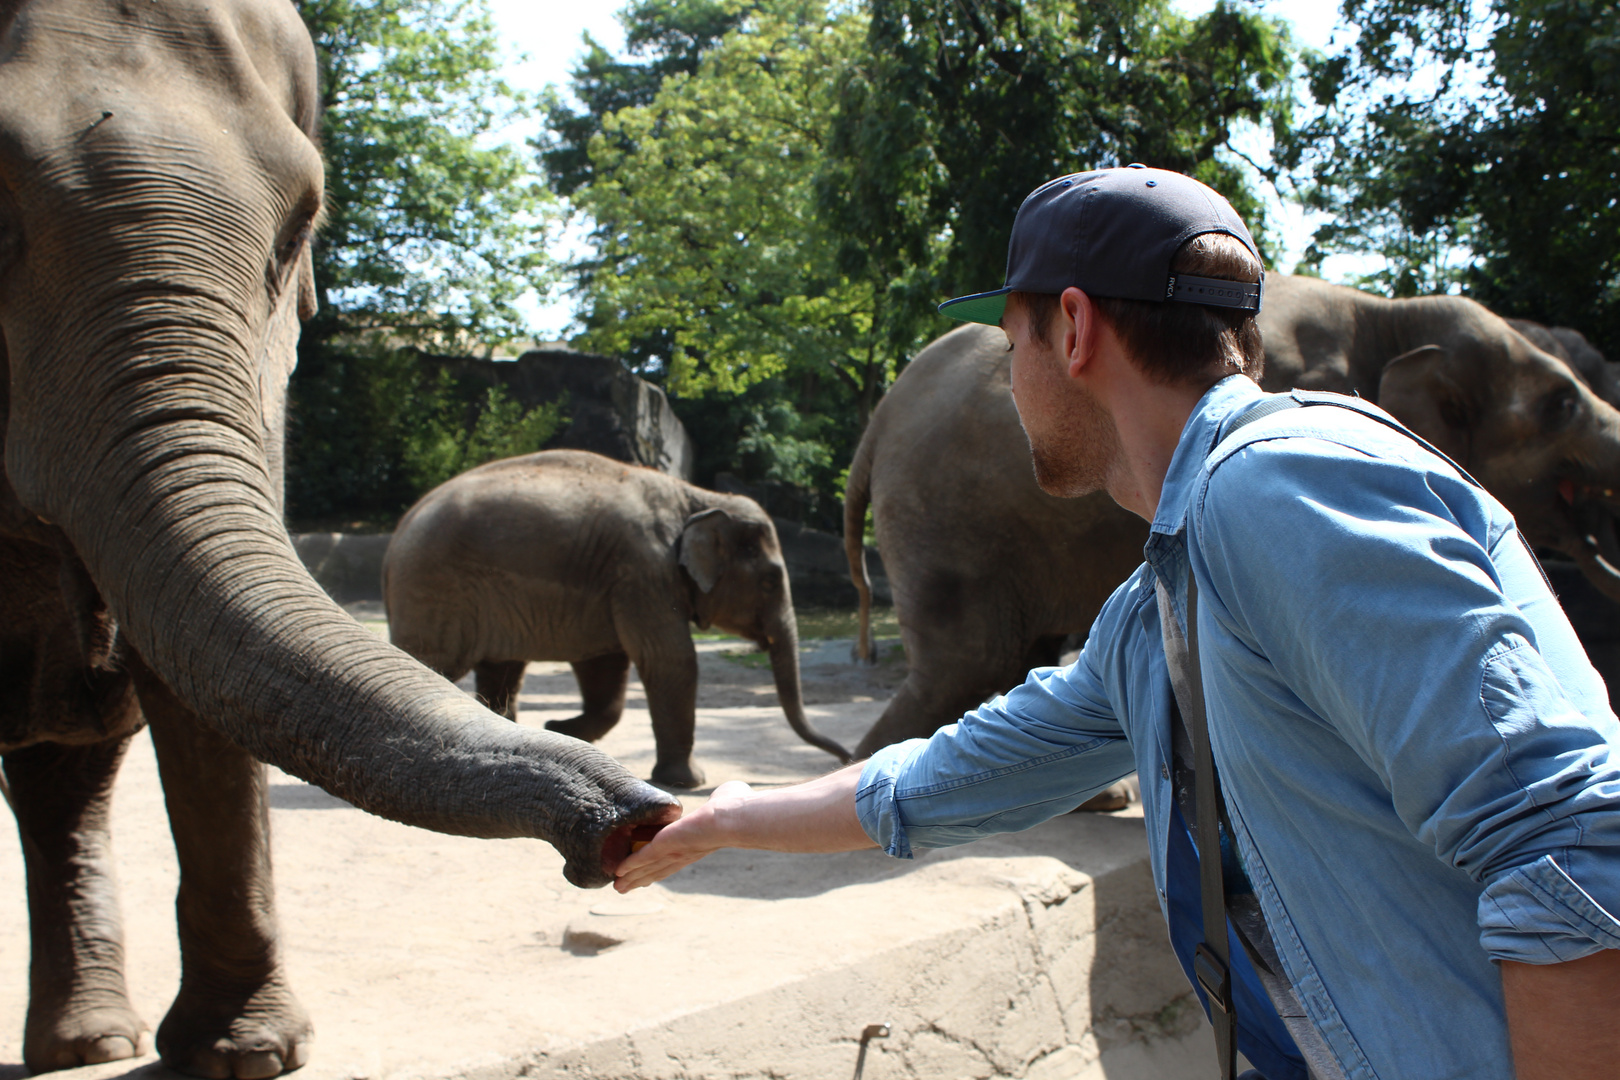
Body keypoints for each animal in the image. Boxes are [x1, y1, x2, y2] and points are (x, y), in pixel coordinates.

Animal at [0, 4, 677, 1075]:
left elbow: (194, 689)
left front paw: (246, 1057)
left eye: (295, 232)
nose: (637, 822)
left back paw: (89, 1042)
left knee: (67, 770)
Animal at [383, 446, 855, 786]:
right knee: (431, 666)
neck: (697, 497)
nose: (849, 755)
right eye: (771, 581)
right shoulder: (644, 570)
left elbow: (606, 667)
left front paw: (560, 729)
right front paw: (689, 782)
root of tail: (399, 531)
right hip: (432, 589)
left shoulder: (614, 584)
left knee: (501, 671)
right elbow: (671, 660)